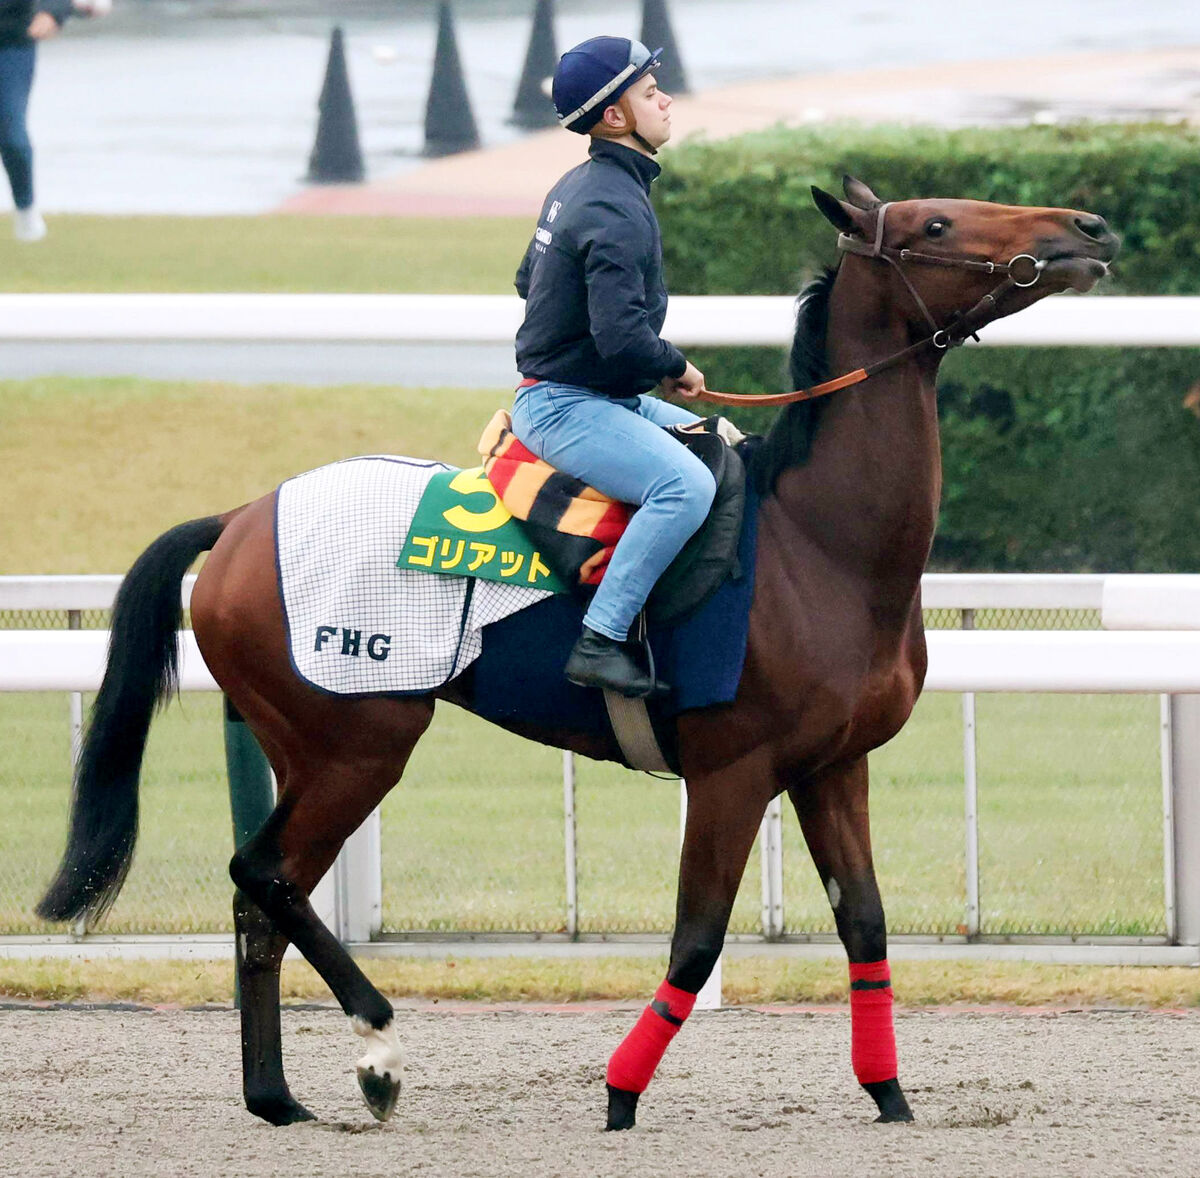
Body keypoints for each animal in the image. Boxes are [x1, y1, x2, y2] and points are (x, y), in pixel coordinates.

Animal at [35, 177, 1113, 1132]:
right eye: (936, 222)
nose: (1087, 227)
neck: (818, 545)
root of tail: (239, 518)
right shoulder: (733, 770)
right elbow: (695, 940)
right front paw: (620, 1093)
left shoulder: (833, 765)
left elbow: (867, 926)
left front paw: (889, 1093)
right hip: (358, 741)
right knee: (265, 873)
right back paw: (378, 1051)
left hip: (305, 745)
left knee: (261, 897)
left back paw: (277, 1096)